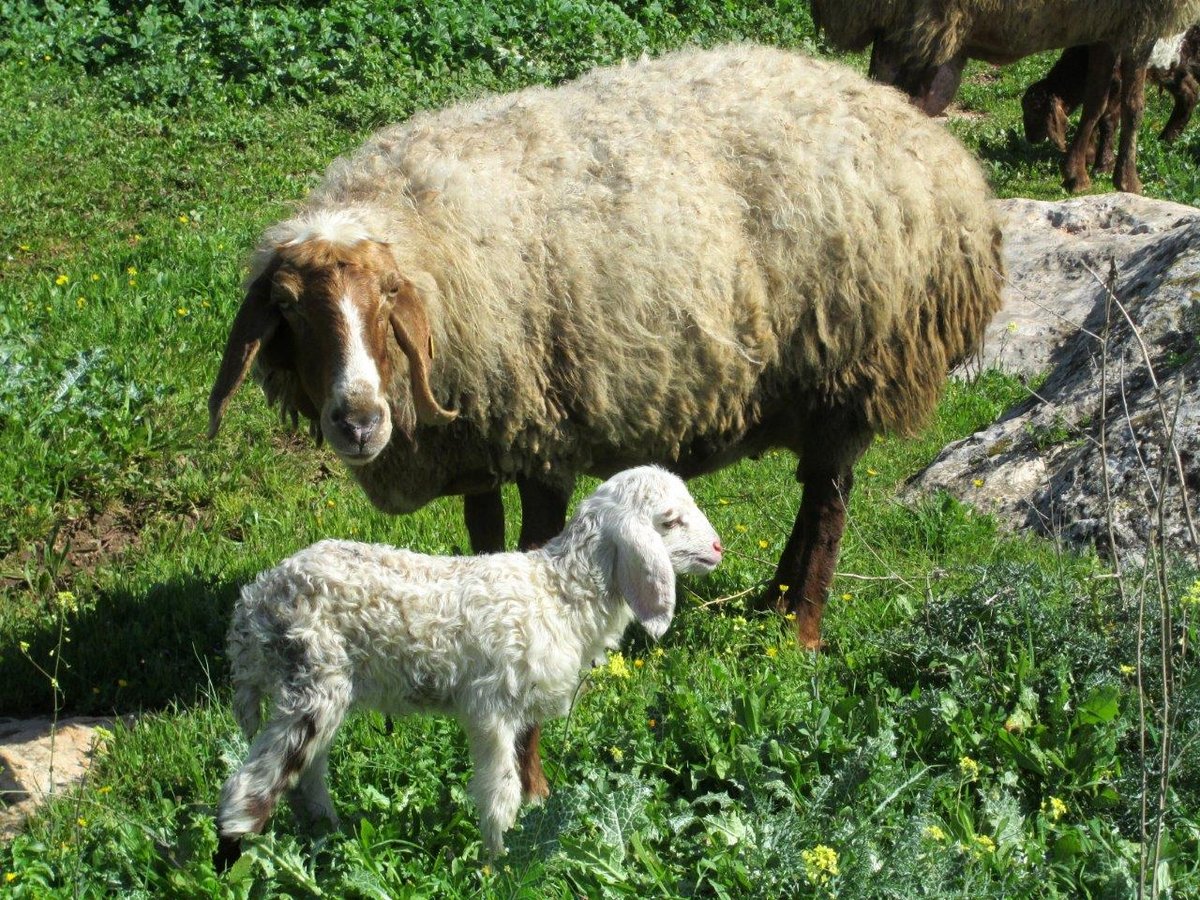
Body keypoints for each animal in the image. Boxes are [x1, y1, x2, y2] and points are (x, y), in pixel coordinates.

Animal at [206, 45, 1003, 796]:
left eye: (386, 298)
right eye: (287, 311)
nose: (359, 421)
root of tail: (928, 141)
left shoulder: (541, 431)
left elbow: (532, 540)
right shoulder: (479, 439)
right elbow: (483, 538)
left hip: (856, 366)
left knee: (829, 503)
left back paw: (801, 629)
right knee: (815, 500)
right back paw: (774, 602)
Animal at [213, 465, 720, 868]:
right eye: (670, 520)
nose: (717, 547)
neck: (559, 593)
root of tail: (251, 608)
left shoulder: (521, 708)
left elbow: (522, 775)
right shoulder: (490, 707)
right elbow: (500, 792)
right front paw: (499, 862)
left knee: (308, 775)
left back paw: (328, 834)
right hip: (311, 679)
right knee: (250, 785)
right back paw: (233, 858)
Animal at [806, 0, 1200, 194]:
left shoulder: (1106, 25)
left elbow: (1097, 103)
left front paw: (1077, 173)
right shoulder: (1143, 20)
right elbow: (1134, 106)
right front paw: (1128, 181)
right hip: (913, 27)